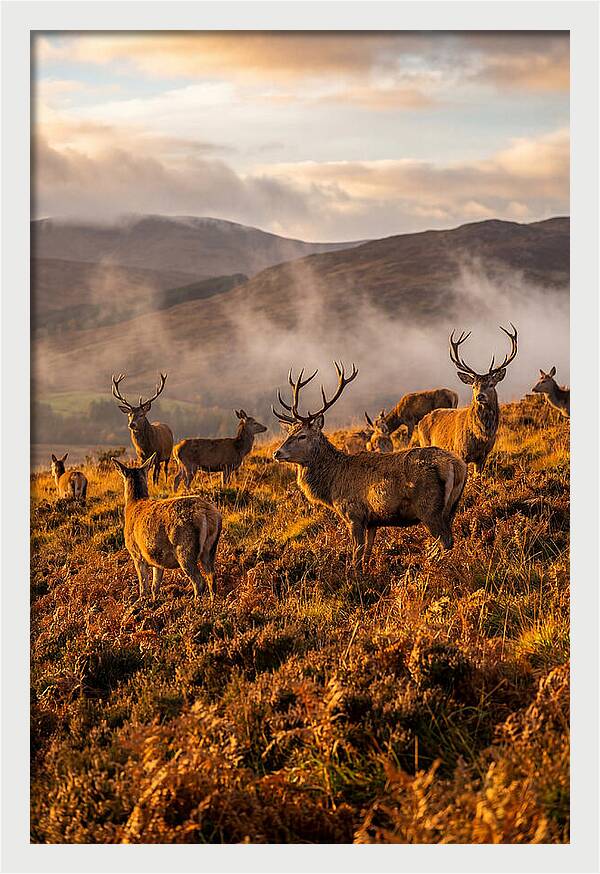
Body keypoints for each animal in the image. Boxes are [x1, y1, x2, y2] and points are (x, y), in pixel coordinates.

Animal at [112, 453, 222, 603]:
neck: (133, 504)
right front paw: (154, 601)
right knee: (212, 577)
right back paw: (212, 603)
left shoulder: (136, 553)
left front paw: (142, 602)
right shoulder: (156, 559)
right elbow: (155, 586)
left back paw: (195, 603)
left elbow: (143, 586)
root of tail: (207, 514)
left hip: (185, 548)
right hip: (210, 549)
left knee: (199, 581)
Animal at [272, 362, 467, 573]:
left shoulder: (354, 514)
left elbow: (356, 555)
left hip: (429, 508)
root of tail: (456, 465)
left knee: (446, 540)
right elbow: (367, 553)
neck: (332, 485)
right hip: (452, 506)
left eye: (302, 436)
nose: (277, 453)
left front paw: (355, 577)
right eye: (289, 433)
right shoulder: (373, 520)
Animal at [416, 324, 518, 475]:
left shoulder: (483, 457)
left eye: (491, 384)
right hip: (425, 443)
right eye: (473, 386)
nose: (480, 396)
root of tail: (421, 421)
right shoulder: (460, 452)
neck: (481, 437)